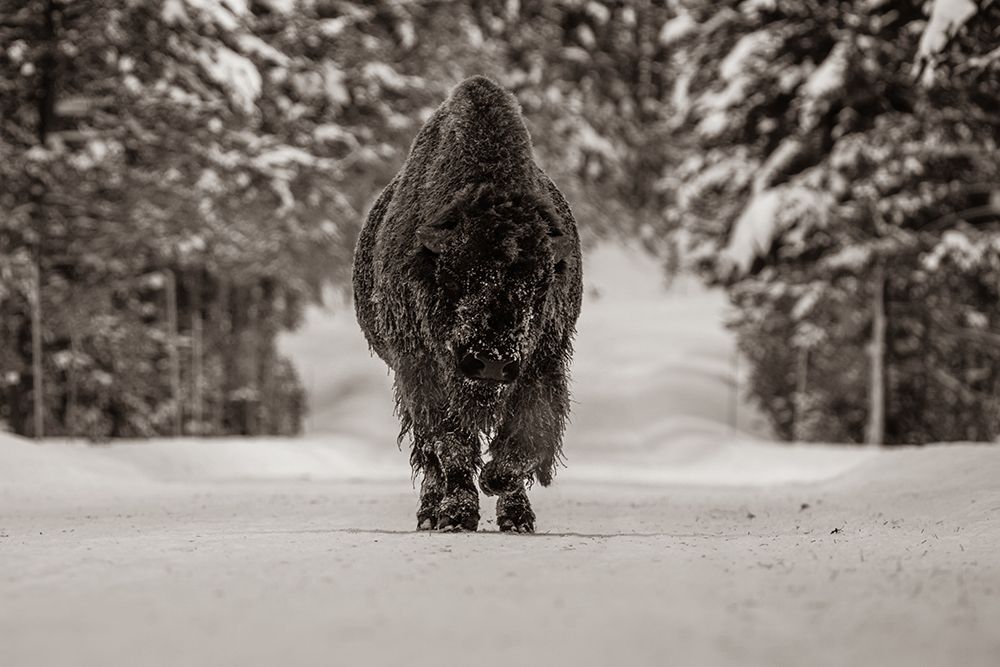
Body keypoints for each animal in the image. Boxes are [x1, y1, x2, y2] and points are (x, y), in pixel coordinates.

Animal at [352, 75, 583, 532]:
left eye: (540, 284)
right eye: (456, 276)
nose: (491, 363)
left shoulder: (543, 362)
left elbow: (528, 436)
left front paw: (501, 488)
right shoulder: (421, 369)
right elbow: (451, 445)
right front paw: (457, 515)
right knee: (429, 457)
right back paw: (431, 513)